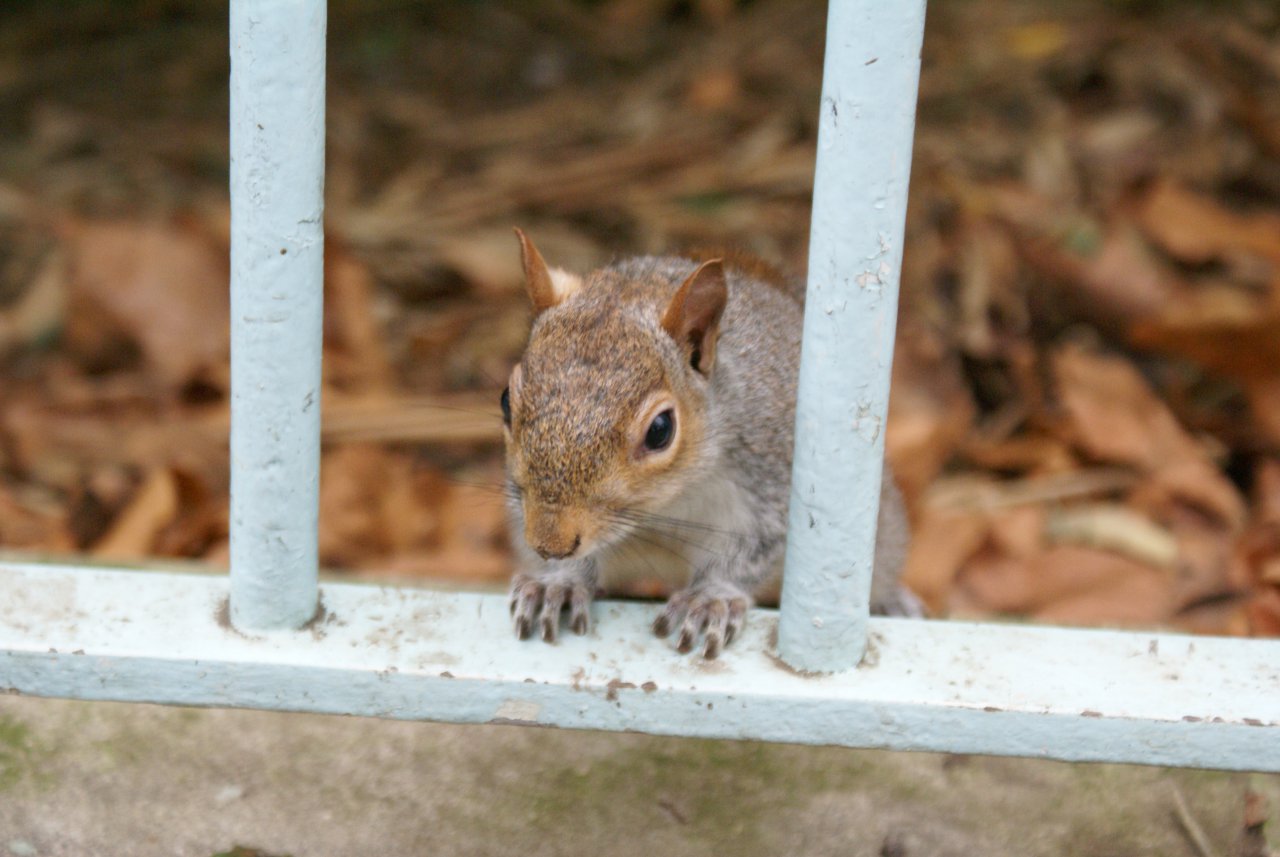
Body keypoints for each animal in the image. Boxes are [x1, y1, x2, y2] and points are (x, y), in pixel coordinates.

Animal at [503, 229, 918, 659]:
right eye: (505, 402)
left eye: (660, 430)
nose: (550, 544)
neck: (666, 505)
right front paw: (559, 581)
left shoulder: (770, 476)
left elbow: (752, 550)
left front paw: (709, 599)